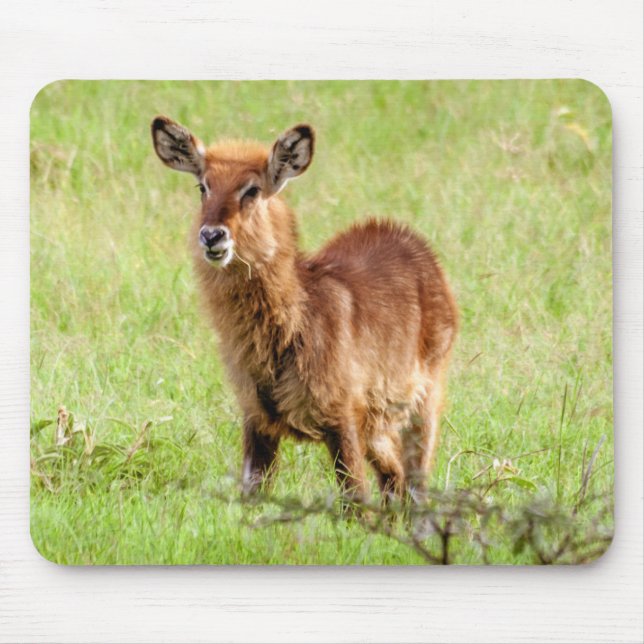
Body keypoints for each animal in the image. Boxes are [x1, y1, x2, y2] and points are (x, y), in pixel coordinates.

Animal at [151, 116, 458, 506]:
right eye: (202, 186)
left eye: (252, 189)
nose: (212, 236)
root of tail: (408, 239)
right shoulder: (257, 419)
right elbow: (252, 498)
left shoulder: (342, 419)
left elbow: (356, 500)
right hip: (377, 424)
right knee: (394, 478)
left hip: (424, 401)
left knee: (416, 484)